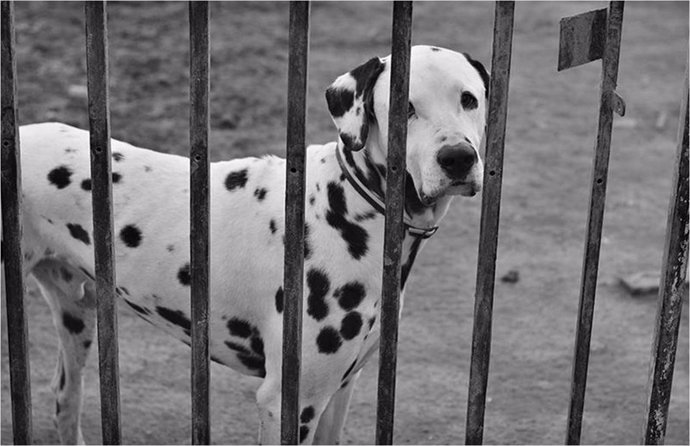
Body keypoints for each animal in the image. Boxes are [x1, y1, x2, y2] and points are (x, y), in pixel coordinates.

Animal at [6, 44, 490, 442]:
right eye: (405, 107)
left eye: (469, 99)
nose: (458, 158)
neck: (351, 206)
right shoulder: (290, 402)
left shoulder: (339, 391)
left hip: (77, 317)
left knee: (64, 398)